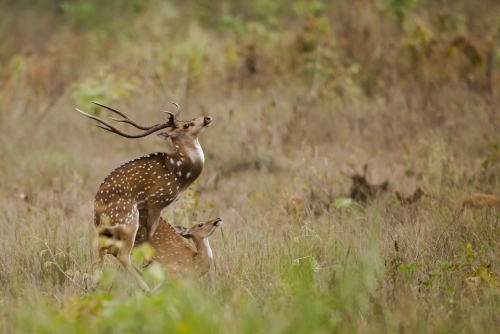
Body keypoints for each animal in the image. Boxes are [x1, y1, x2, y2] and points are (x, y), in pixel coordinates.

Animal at [76, 102, 213, 292]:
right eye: (187, 125)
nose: (207, 118)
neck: (180, 174)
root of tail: (97, 214)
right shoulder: (156, 201)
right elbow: (150, 235)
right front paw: (150, 268)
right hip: (127, 220)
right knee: (122, 254)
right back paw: (146, 288)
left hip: (104, 232)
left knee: (101, 252)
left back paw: (96, 287)